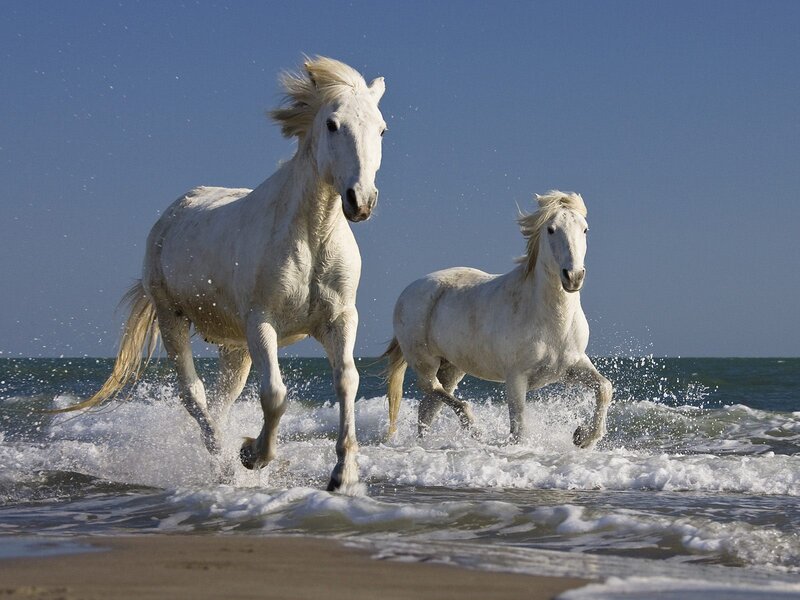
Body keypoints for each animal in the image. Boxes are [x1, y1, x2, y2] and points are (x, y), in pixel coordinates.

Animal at [54, 57, 388, 492]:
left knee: (219, 402)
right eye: (332, 124)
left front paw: (342, 475)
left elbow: (347, 380)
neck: (311, 235)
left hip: (235, 348)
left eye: (381, 129)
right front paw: (252, 455)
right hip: (173, 320)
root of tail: (173, 213)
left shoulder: (340, 319)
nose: (361, 201)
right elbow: (275, 394)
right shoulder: (261, 322)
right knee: (194, 396)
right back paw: (226, 464)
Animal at [384, 191, 612, 448]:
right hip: (425, 361)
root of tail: (408, 291)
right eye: (551, 229)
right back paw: (472, 427)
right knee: (432, 388)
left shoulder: (571, 367)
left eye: (585, 229)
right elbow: (519, 428)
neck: (552, 322)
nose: (573, 277)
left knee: (428, 407)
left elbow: (604, 387)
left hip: (451, 368)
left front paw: (583, 437)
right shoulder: (516, 378)